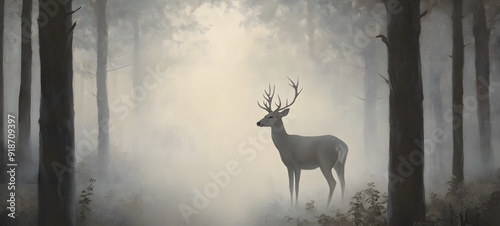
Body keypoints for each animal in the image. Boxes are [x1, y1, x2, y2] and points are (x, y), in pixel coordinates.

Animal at [254, 77, 348, 208]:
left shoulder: (298, 164)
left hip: (325, 162)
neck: (285, 145)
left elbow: (297, 187)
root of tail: (341, 144)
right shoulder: (288, 165)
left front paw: (296, 207)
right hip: (340, 163)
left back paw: (327, 207)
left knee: (333, 182)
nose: (258, 122)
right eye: (265, 114)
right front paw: (291, 207)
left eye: (271, 116)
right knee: (343, 182)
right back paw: (343, 205)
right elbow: (290, 186)